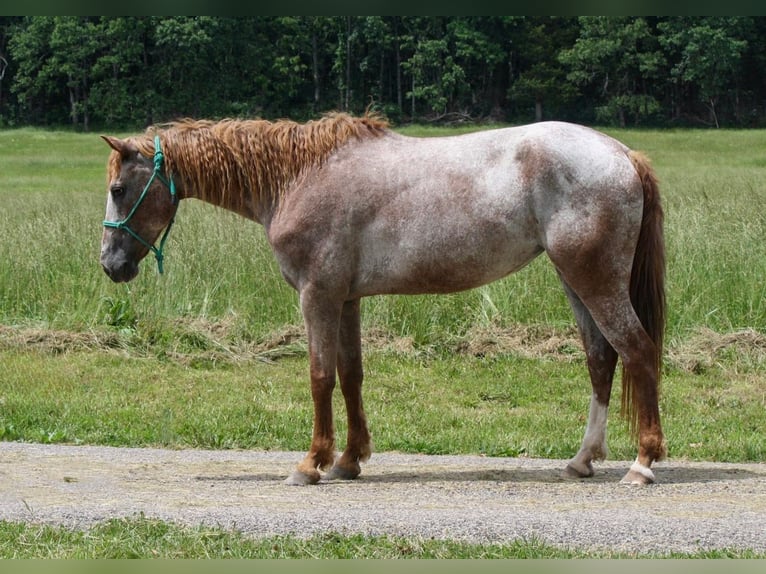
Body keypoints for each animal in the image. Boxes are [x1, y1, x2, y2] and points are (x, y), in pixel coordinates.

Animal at [99, 112, 666, 486]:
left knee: (637, 351)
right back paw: (582, 460)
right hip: (575, 280)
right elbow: (351, 376)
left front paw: (311, 463)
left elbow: (320, 377)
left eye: (118, 190)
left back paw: (641, 463)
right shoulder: (346, 300)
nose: (111, 264)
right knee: (601, 358)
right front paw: (349, 460)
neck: (298, 178)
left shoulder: (318, 296)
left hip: (594, 279)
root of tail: (622, 154)